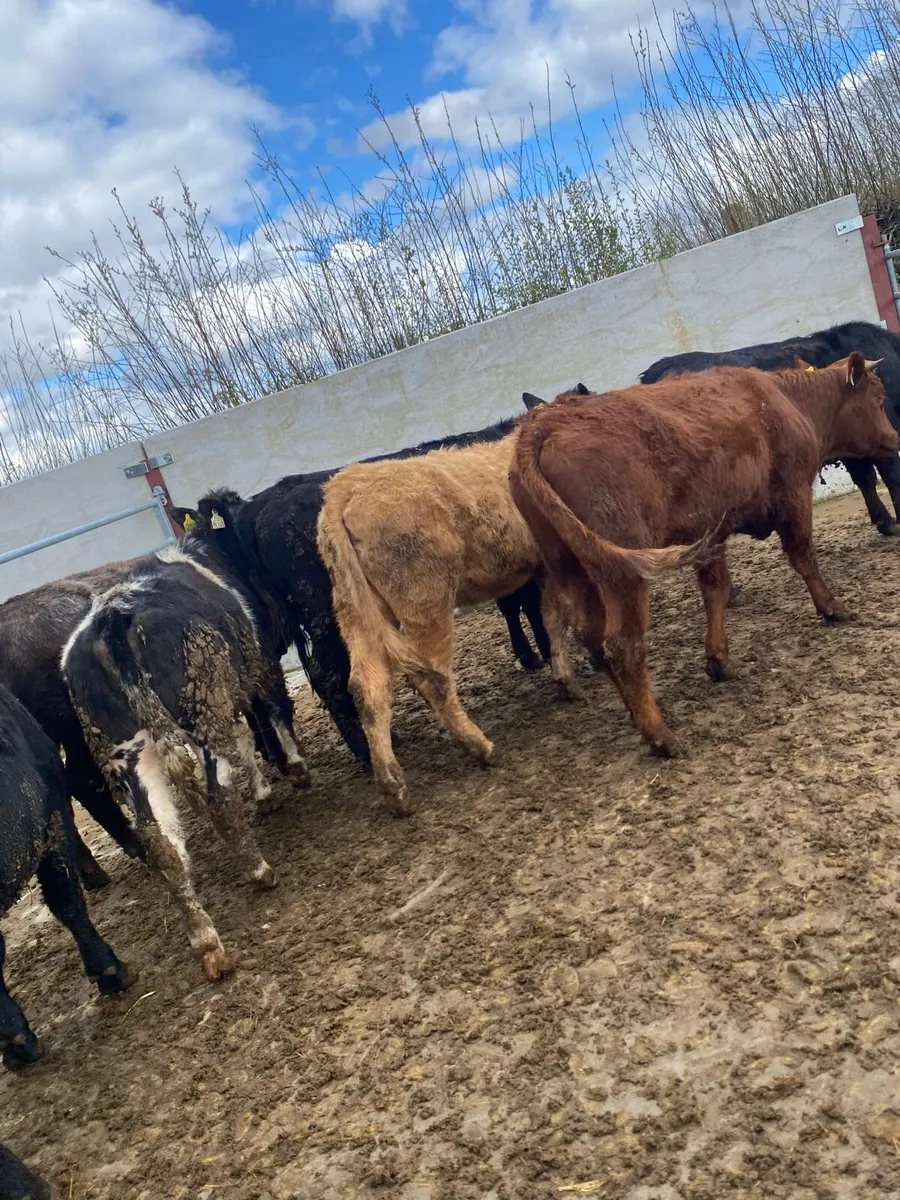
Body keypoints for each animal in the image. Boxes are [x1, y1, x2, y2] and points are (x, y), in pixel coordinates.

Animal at [61, 547, 309, 981]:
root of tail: (113, 620)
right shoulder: (260, 668)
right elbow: (270, 714)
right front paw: (290, 773)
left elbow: (245, 737)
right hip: (202, 708)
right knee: (218, 796)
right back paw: (259, 871)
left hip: (126, 750)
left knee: (159, 840)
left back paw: (205, 940)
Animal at [169, 398, 592, 771]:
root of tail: (258, 507)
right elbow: (529, 605)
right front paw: (543, 655)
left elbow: (520, 605)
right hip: (326, 614)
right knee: (328, 677)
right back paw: (365, 751)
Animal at [315, 396, 592, 816]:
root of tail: (347, 483)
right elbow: (555, 616)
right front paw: (570, 675)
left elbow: (549, 618)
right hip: (425, 599)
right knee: (432, 677)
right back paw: (480, 746)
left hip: (355, 609)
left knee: (367, 686)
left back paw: (393, 787)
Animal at [509, 355, 899, 756]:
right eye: (879, 398)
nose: (894, 439)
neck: (786, 401)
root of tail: (545, 423)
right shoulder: (794, 496)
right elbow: (804, 557)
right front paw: (832, 608)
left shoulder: (710, 533)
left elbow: (716, 590)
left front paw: (718, 659)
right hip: (623, 572)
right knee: (623, 646)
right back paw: (659, 734)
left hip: (573, 569)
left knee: (593, 639)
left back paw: (634, 714)